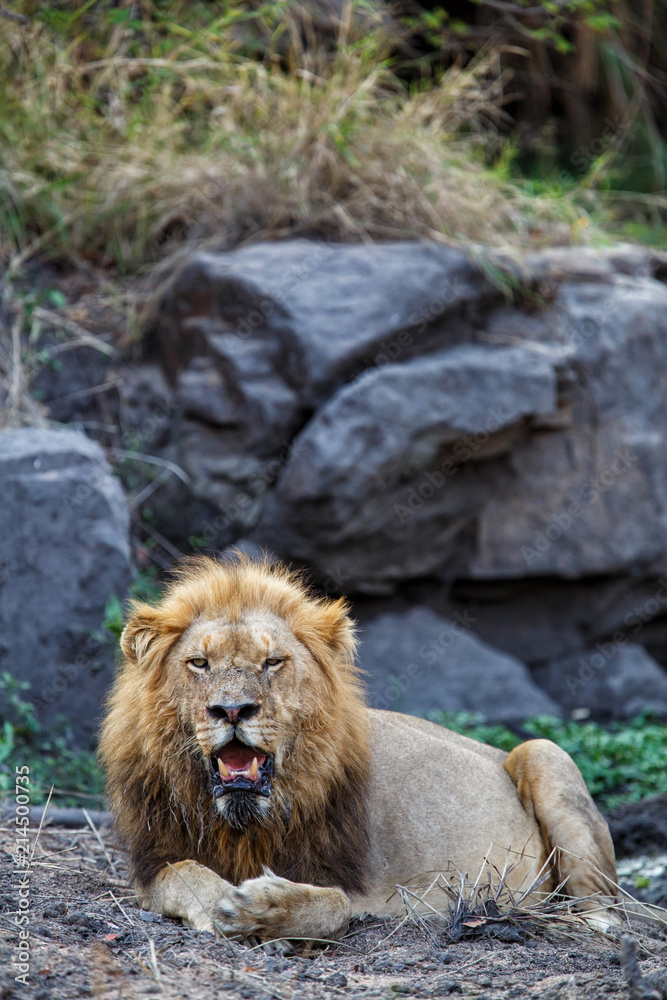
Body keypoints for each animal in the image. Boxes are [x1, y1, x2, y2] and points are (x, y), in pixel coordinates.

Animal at [99, 556, 619, 942]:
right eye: (199, 663)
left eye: (272, 662)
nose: (231, 709)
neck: (243, 821)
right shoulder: (151, 861)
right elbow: (187, 874)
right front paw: (223, 906)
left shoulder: (358, 885)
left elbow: (334, 905)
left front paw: (261, 907)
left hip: (546, 752)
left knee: (606, 907)